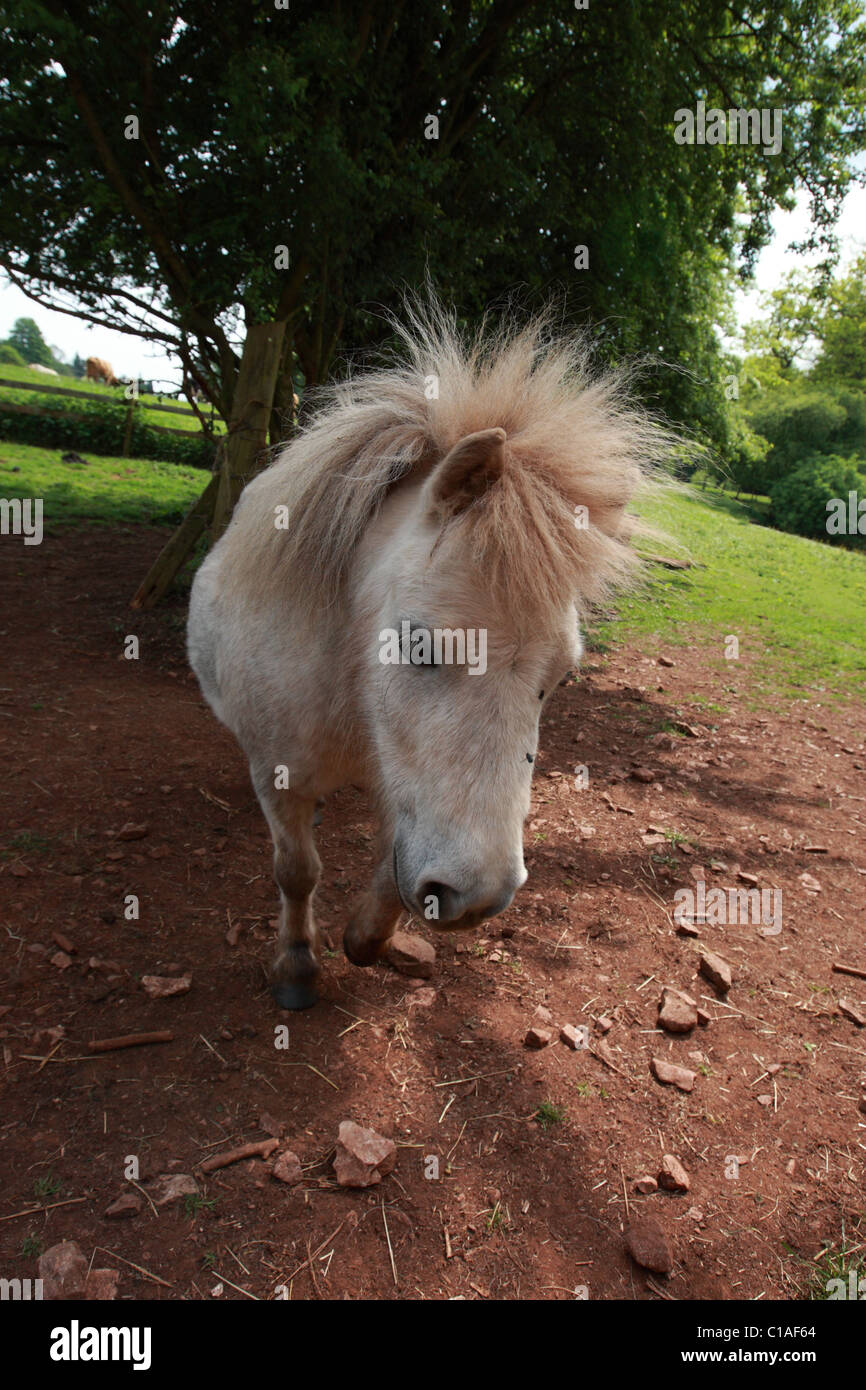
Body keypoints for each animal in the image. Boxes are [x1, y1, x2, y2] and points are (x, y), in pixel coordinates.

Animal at [189, 298, 664, 1006]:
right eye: (418, 643)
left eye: (560, 678)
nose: (477, 899)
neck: (350, 693)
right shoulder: (280, 775)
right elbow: (297, 870)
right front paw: (297, 966)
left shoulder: (402, 785)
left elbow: (392, 863)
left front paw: (367, 940)